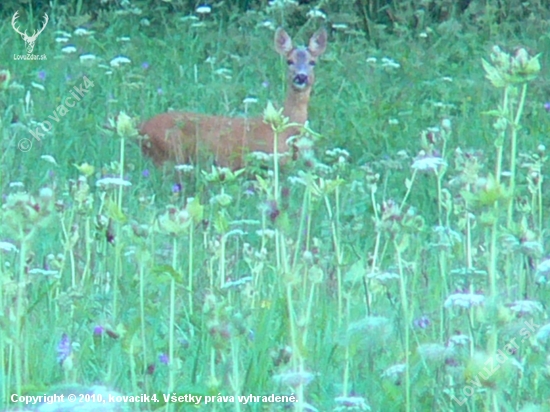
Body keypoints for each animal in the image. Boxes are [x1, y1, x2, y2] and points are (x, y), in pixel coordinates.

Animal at [140, 27, 328, 169]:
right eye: (289, 61)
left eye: (312, 62)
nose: (301, 77)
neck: (285, 129)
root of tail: (142, 129)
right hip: (169, 154)